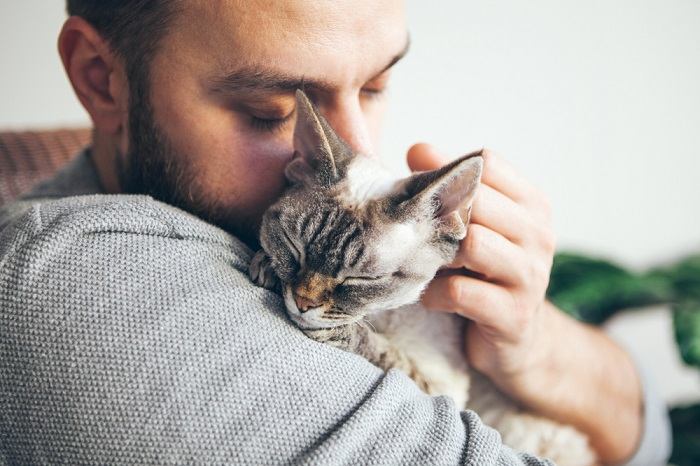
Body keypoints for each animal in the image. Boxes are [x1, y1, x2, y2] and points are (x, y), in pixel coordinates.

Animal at [249, 89, 592, 464]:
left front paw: (340, 331)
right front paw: (267, 266)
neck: (383, 314)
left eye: (362, 280)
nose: (302, 302)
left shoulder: (442, 387)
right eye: (293, 247)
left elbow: (386, 354)